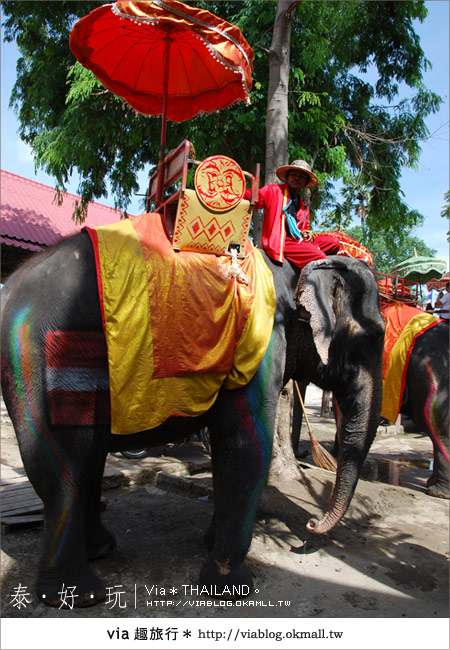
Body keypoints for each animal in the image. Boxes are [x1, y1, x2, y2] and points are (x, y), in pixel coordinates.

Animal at [0, 227, 384, 604]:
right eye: (373, 338)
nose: (310, 527)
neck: (296, 262)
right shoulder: (261, 342)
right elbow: (244, 444)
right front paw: (231, 586)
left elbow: (225, 450)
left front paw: (210, 545)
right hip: (45, 353)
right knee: (64, 466)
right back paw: (80, 594)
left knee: (86, 460)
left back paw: (101, 550)